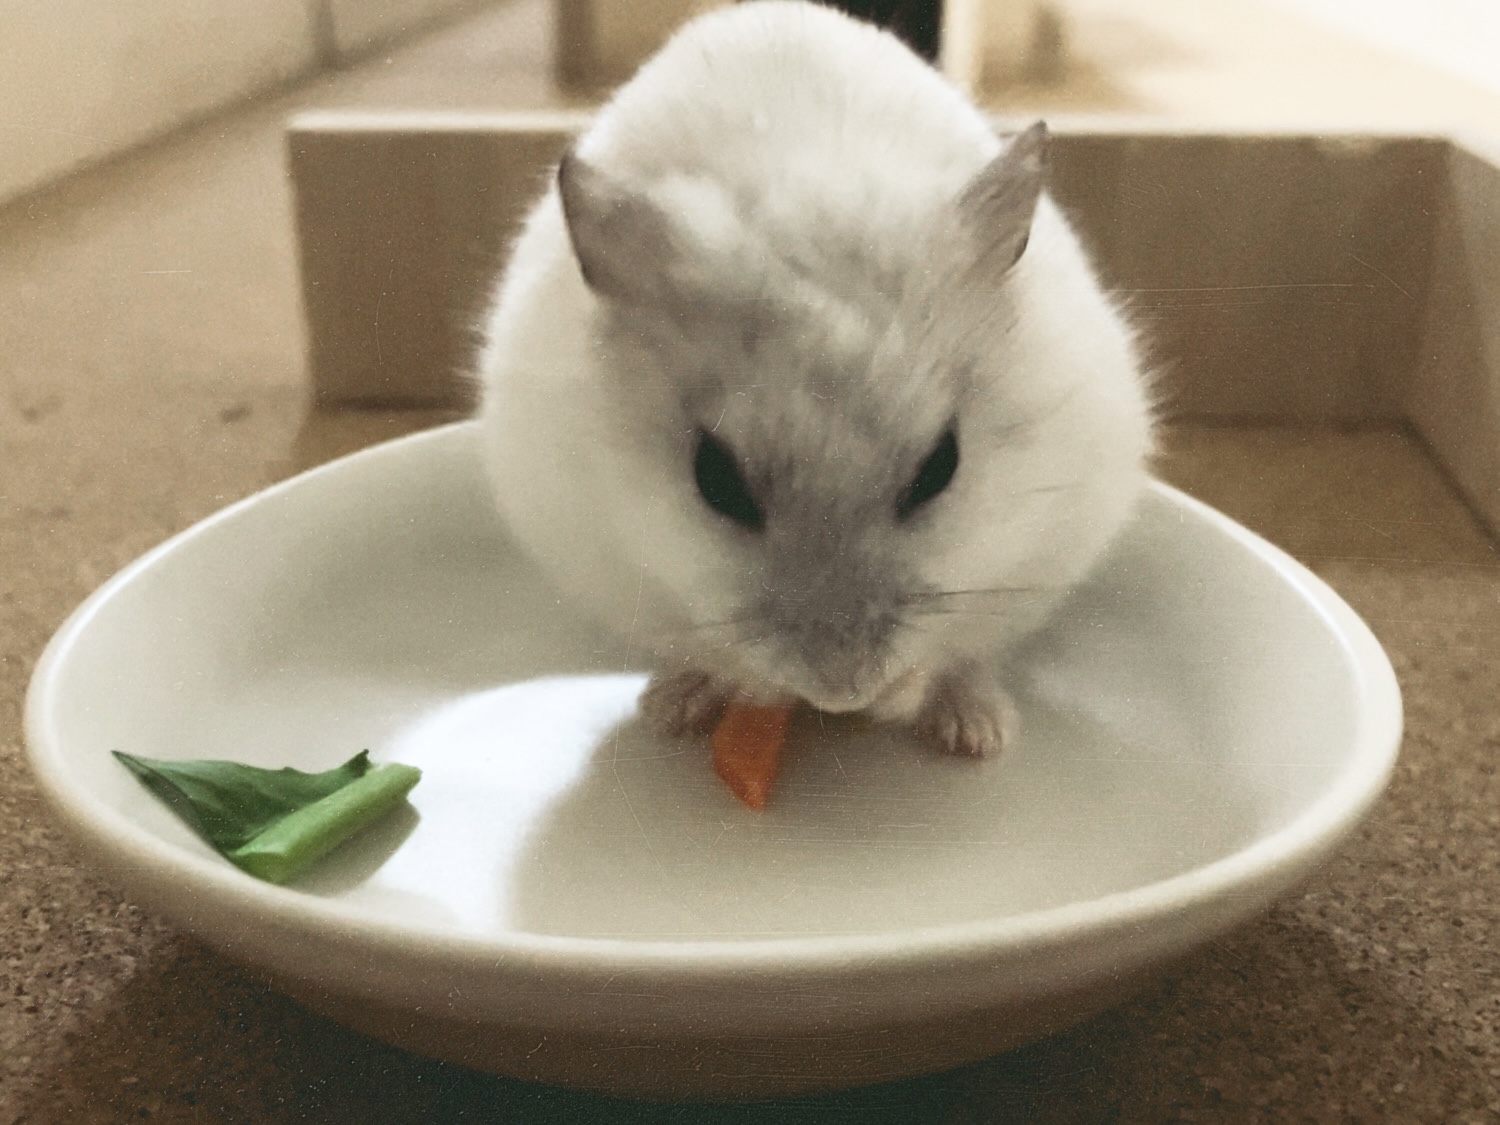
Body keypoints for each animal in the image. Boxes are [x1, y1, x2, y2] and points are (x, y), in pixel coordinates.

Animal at [476, 0, 1154, 756]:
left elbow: (950, 647)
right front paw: (747, 696)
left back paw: (977, 734)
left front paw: (903, 702)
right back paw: (671, 708)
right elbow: (724, 656)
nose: (843, 693)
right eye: (715, 481)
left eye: (941, 466)